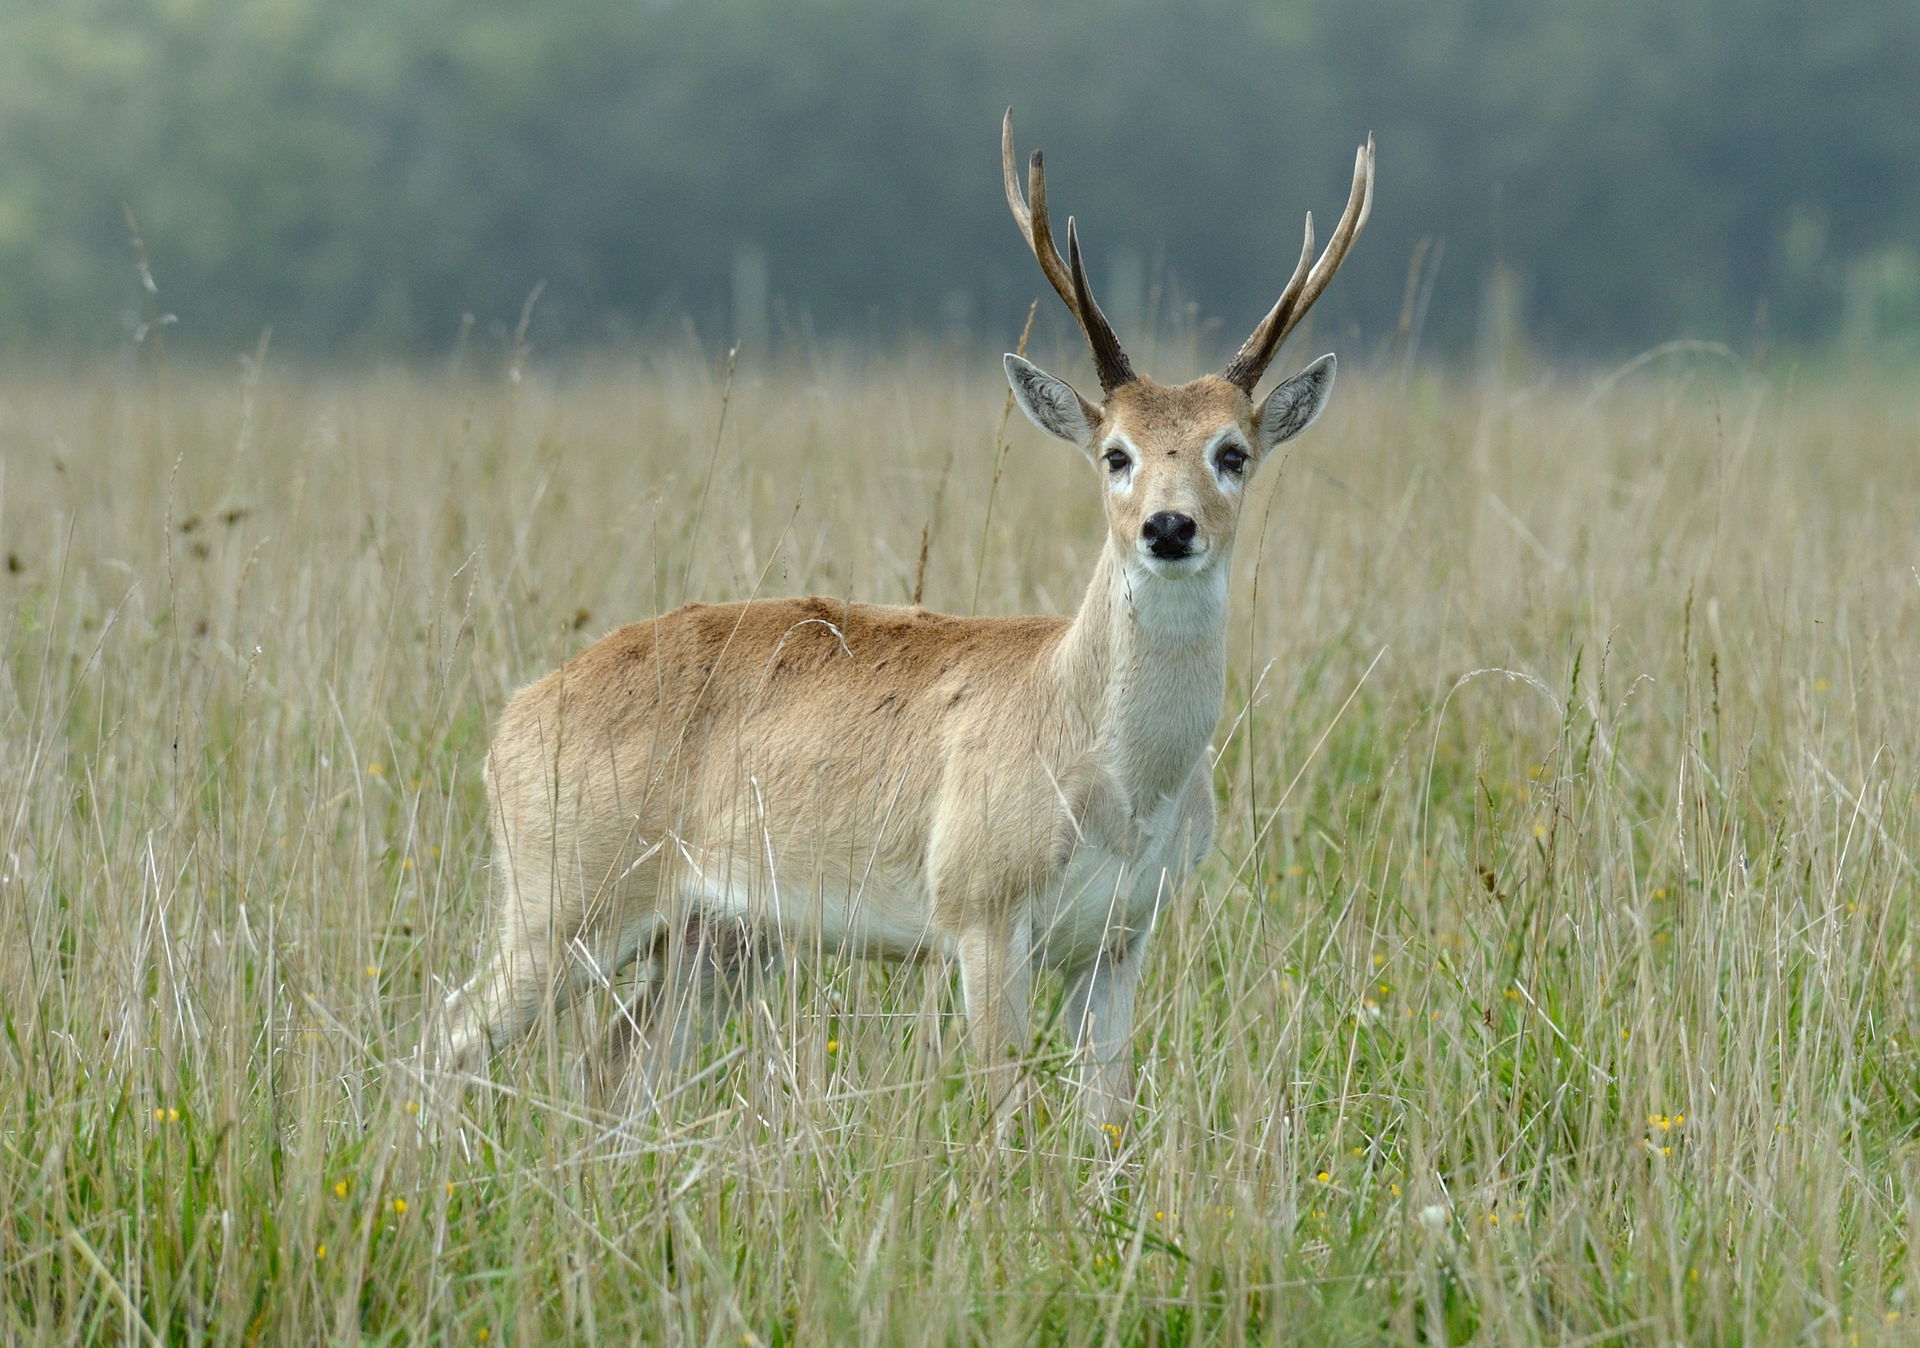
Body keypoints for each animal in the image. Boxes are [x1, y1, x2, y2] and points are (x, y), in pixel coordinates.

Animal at [431, 110, 1373, 1133]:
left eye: (1232, 451)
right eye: (1115, 453)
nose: (1169, 526)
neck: (1115, 770)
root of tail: (513, 718)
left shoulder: (1119, 939)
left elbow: (1108, 1121)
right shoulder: (979, 914)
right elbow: (1007, 1117)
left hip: (715, 938)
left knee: (614, 1065)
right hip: (560, 900)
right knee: (449, 1033)